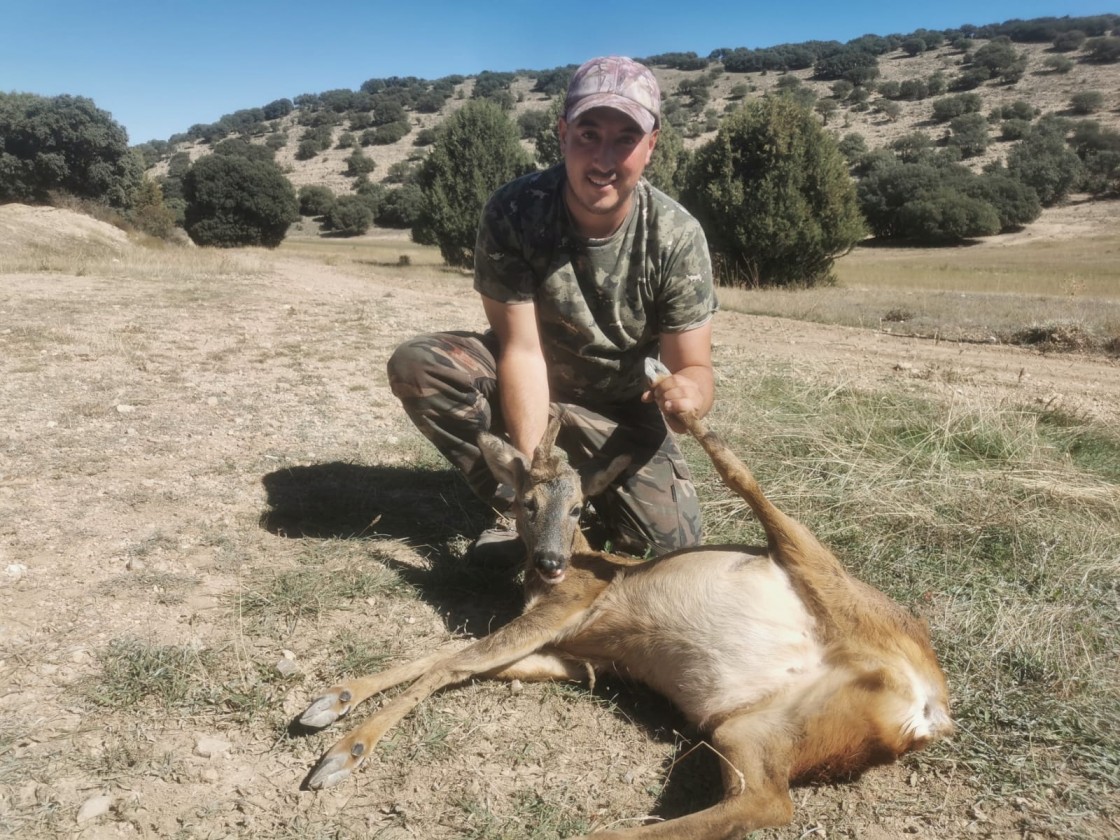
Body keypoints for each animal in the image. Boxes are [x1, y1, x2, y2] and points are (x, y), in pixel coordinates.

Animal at [293, 358, 949, 837]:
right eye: (525, 504)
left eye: (579, 507)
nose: (551, 562)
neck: (559, 580)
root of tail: (927, 709)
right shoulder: (574, 652)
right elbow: (447, 658)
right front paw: (328, 700)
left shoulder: (566, 610)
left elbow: (452, 662)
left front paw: (343, 752)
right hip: (757, 728)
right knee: (763, 803)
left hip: (811, 560)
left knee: (739, 472)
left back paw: (664, 382)